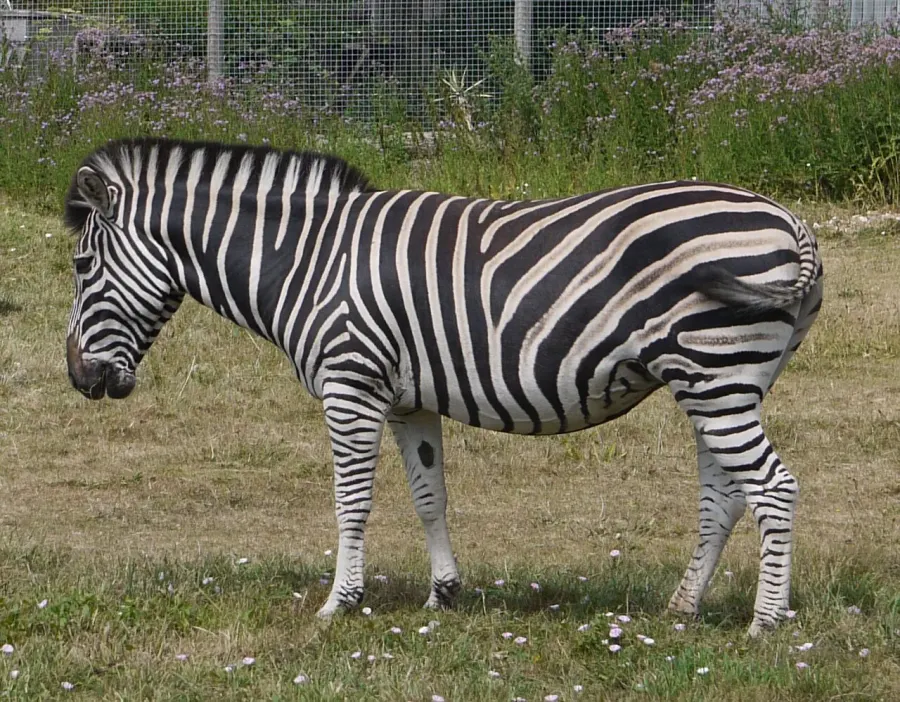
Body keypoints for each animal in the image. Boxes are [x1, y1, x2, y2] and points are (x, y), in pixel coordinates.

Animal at [63, 137, 823, 637]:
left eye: (80, 266)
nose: (78, 377)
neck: (305, 258)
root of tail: (791, 220)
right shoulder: (408, 399)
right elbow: (430, 497)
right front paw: (444, 595)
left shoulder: (350, 383)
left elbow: (352, 501)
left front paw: (339, 604)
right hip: (716, 381)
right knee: (726, 496)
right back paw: (684, 609)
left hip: (716, 376)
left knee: (773, 487)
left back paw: (764, 624)